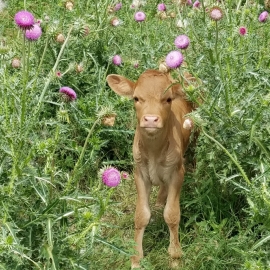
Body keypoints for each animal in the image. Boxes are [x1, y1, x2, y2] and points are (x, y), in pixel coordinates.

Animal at [106, 69, 195, 268]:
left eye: (168, 99)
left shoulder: (177, 172)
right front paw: (136, 260)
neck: (154, 151)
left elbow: (172, 214)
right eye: (136, 98)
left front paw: (175, 257)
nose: (151, 119)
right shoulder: (140, 173)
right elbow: (141, 215)